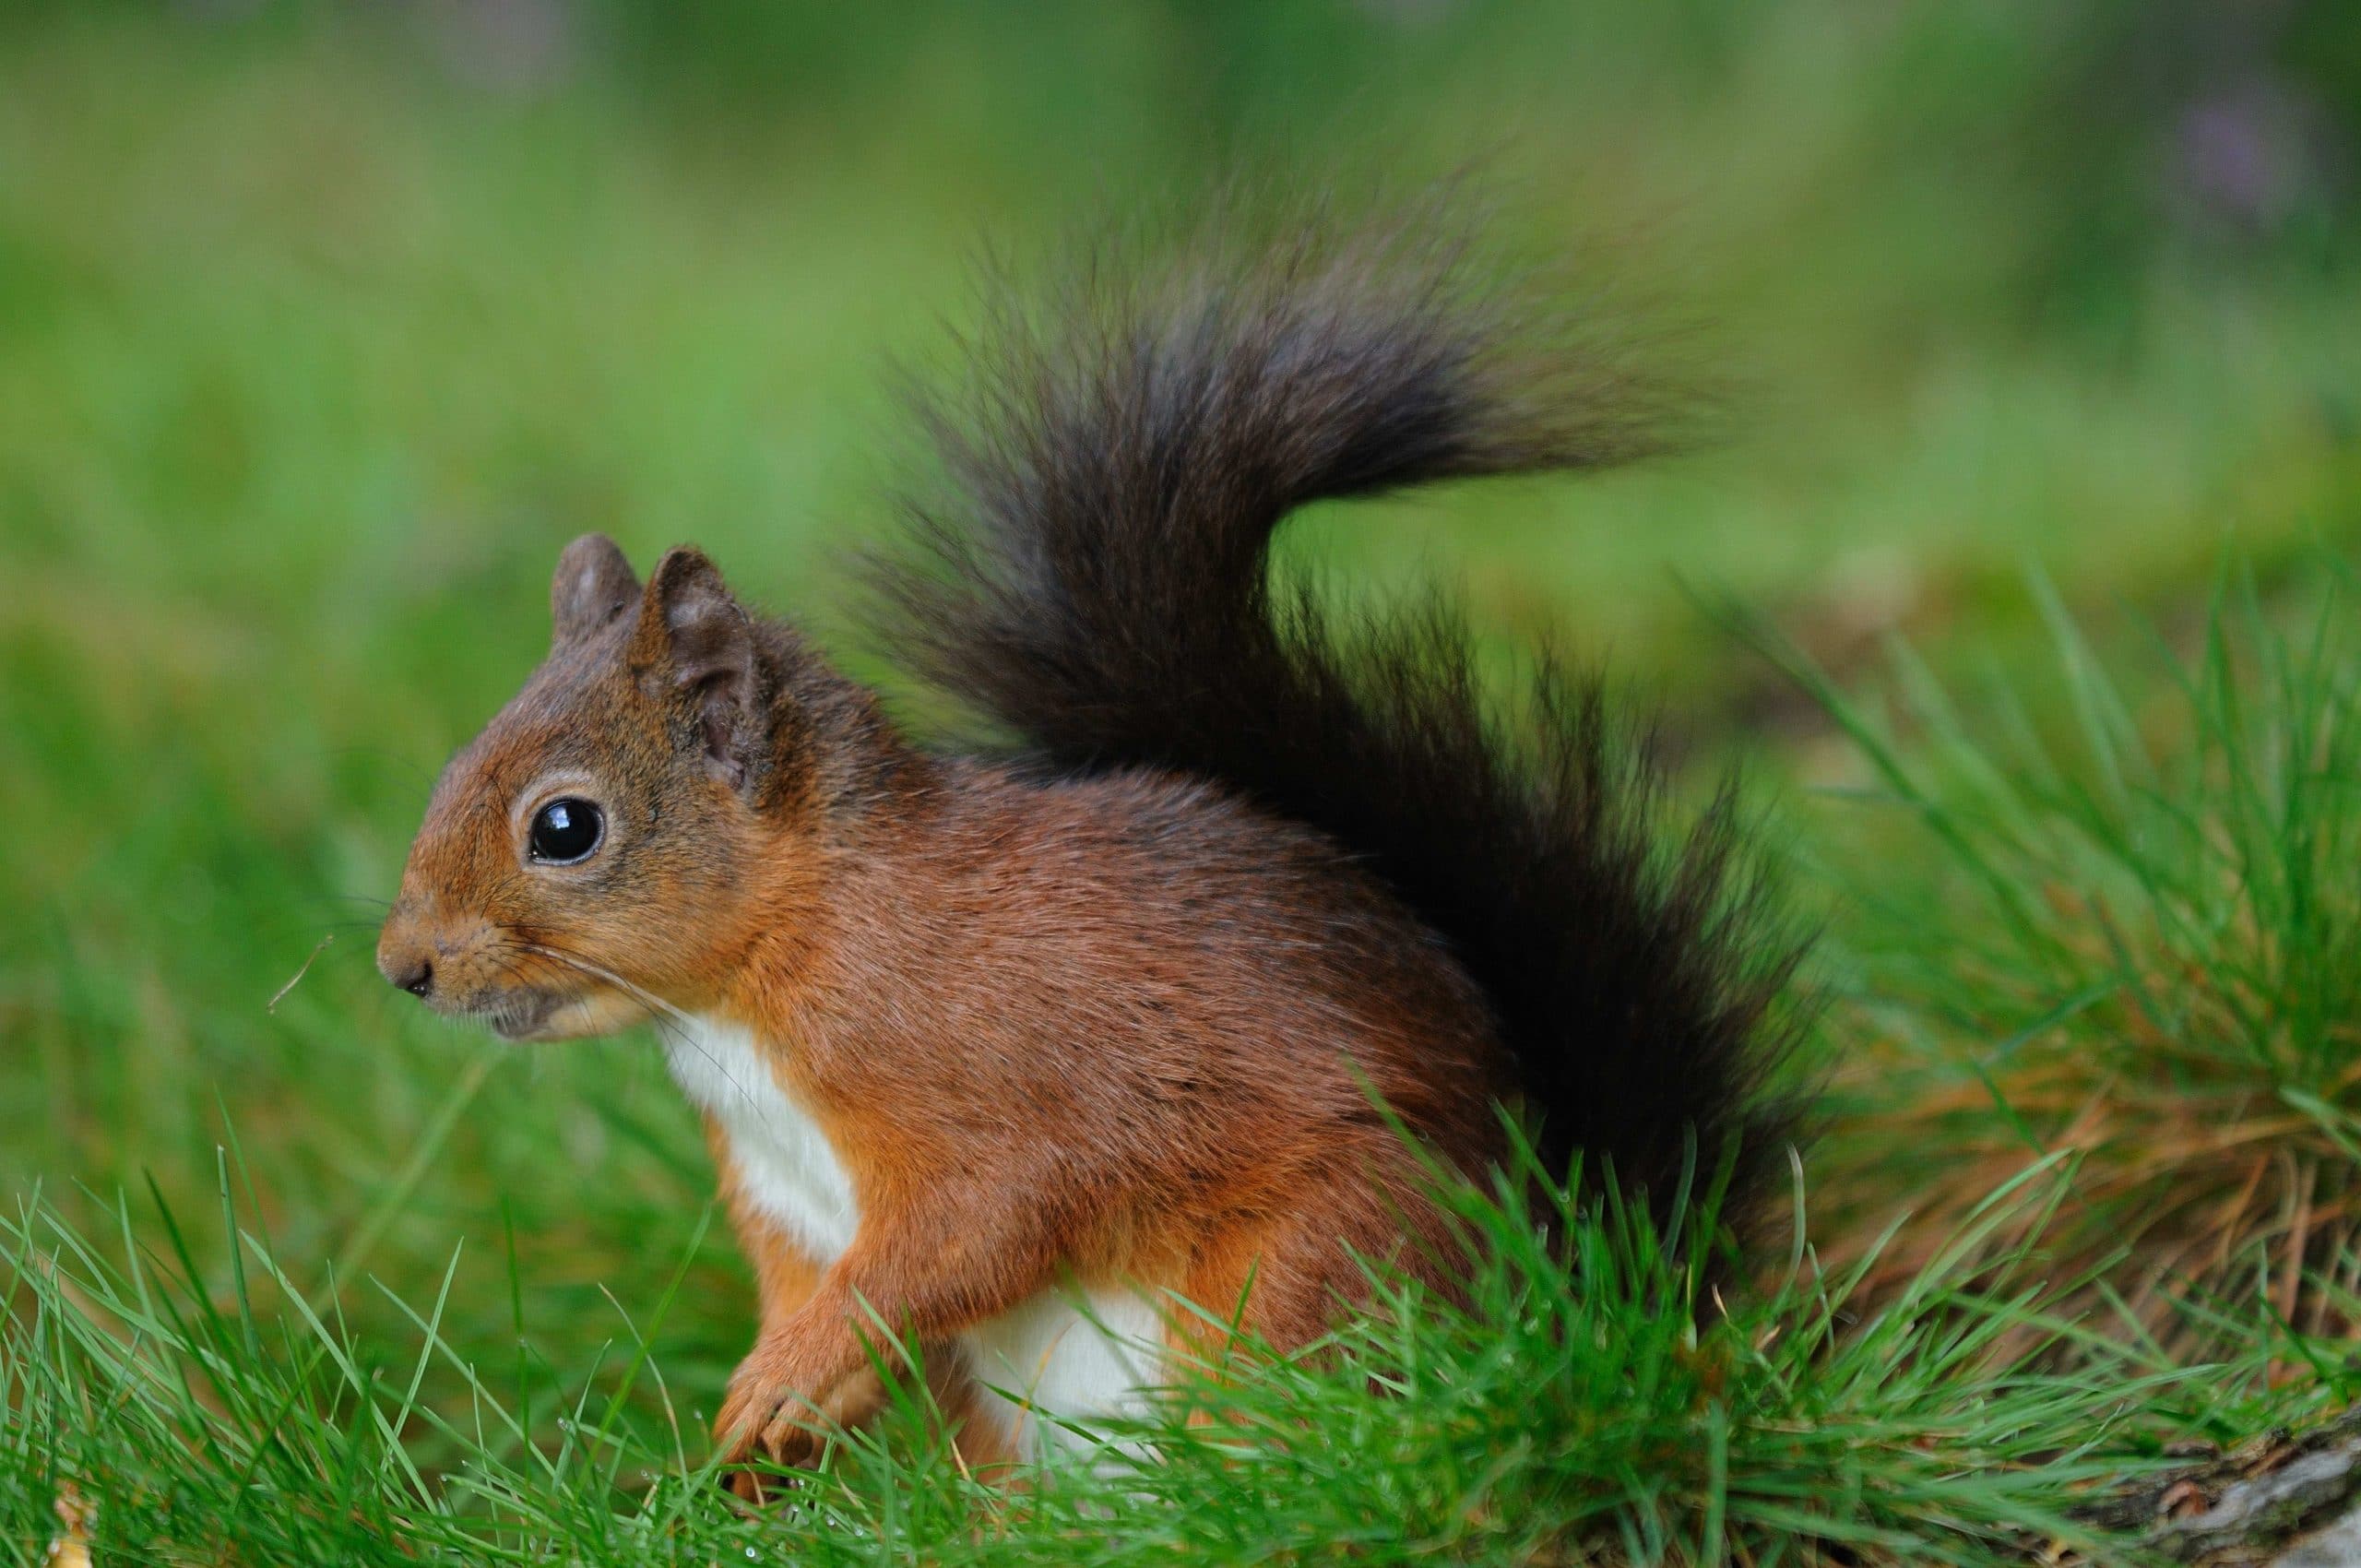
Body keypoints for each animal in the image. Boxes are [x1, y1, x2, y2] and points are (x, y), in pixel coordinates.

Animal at [377, 217, 1794, 1482]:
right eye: (452, 765)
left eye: (565, 828)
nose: (403, 968)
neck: (766, 978)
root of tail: (1575, 1284)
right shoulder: (781, 1200)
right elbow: (809, 1283)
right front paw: (769, 1423)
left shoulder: (1006, 1080)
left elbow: (980, 1224)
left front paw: (792, 1376)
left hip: (1313, 1268)